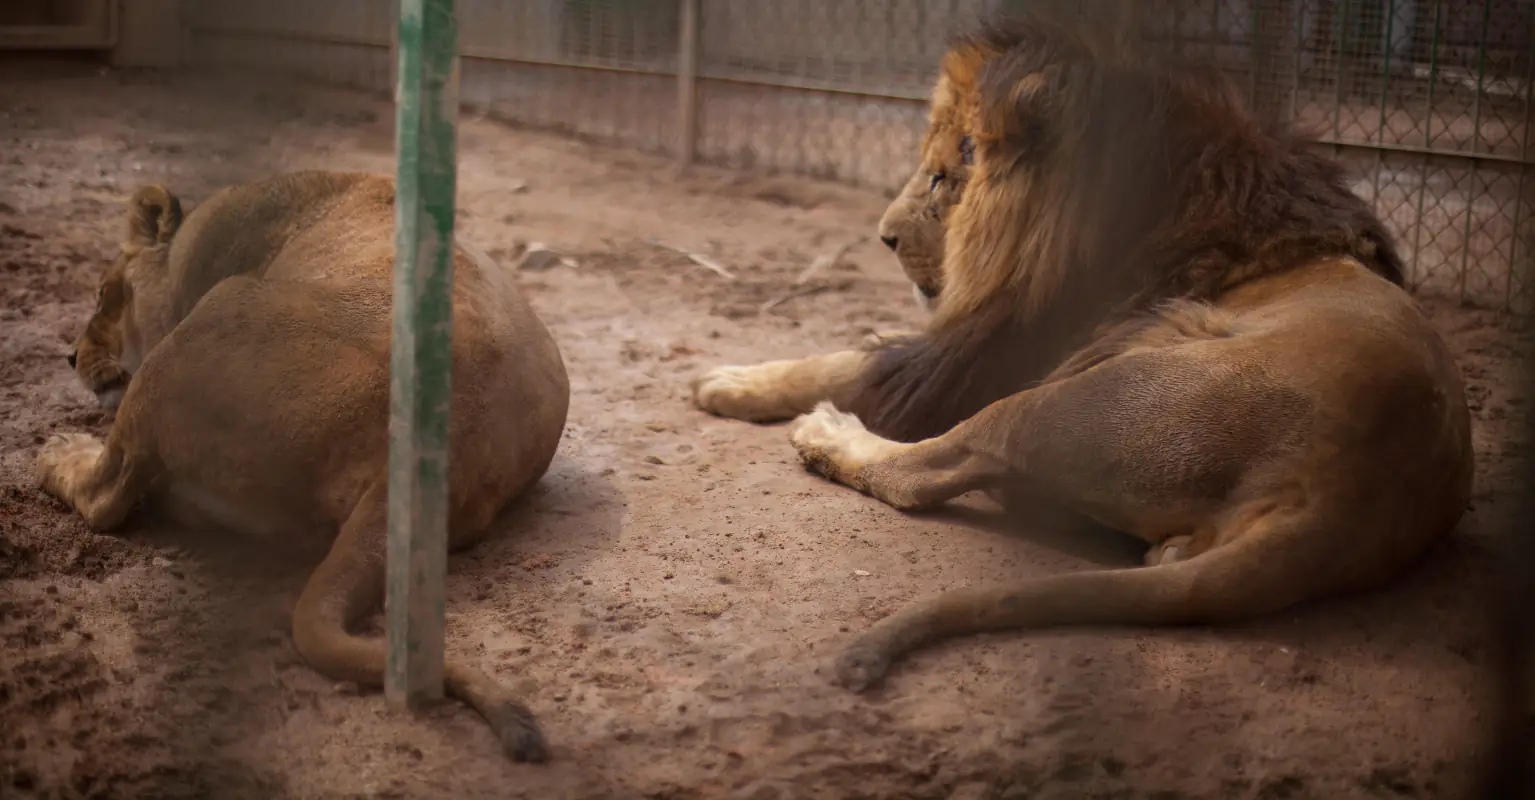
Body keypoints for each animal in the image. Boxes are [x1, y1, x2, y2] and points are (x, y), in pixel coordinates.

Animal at [37, 170, 570, 762]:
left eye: (104, 294)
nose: (70, 357)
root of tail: (442, 444)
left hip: (213, 318)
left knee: (107, 497)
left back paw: (59, 453)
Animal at [692, 12, 1474, 692]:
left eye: (943, 177)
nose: (882, 237)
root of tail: (1339, 499)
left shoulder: (988, 357)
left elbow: (852, 363)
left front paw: (727, 380)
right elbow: (865, 346)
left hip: (1075, 399)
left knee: (929, 470)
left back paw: (827, 435)